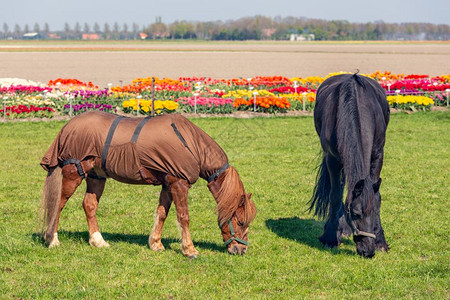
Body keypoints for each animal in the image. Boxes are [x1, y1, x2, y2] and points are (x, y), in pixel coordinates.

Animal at [40, 111, 255, 256]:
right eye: (240, 221)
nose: (240, 249)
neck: (191, 144)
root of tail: (67, 127)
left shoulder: (168, 184)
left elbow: (162, 213)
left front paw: (156, 243)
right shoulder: (179, 184)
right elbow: (183, 217)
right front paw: (189, 249)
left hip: (96, 176)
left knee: (89, 205)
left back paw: (98, 241)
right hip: (74, 173)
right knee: (57, 204)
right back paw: (52, 240)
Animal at [310, 73, 390, 258]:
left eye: (375, 212)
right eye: (355, 214)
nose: (368, 251)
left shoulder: (378, 156)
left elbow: (376, 196)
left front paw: (381, 241)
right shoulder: (333, 159)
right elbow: (335, 195)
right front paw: (330, 237)